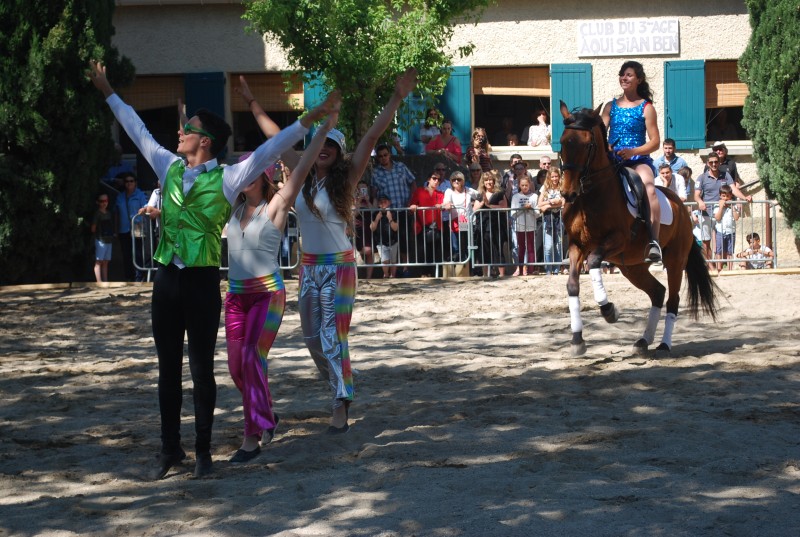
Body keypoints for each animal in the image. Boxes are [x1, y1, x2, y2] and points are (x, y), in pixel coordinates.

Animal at [556, 103, 720, 356]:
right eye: (563, 142)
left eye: (587, 145)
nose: (568, 193)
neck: (591, 197)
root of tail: (682, 207)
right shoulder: (577, 245)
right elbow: (572, 285)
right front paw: (577, 340)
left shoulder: (617, 240)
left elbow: (594, 262)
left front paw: (609, 310)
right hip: (631, 266)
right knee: (658, 292)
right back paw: (644, 340)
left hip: (675, 260)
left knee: (672, 299)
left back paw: (664, 344)